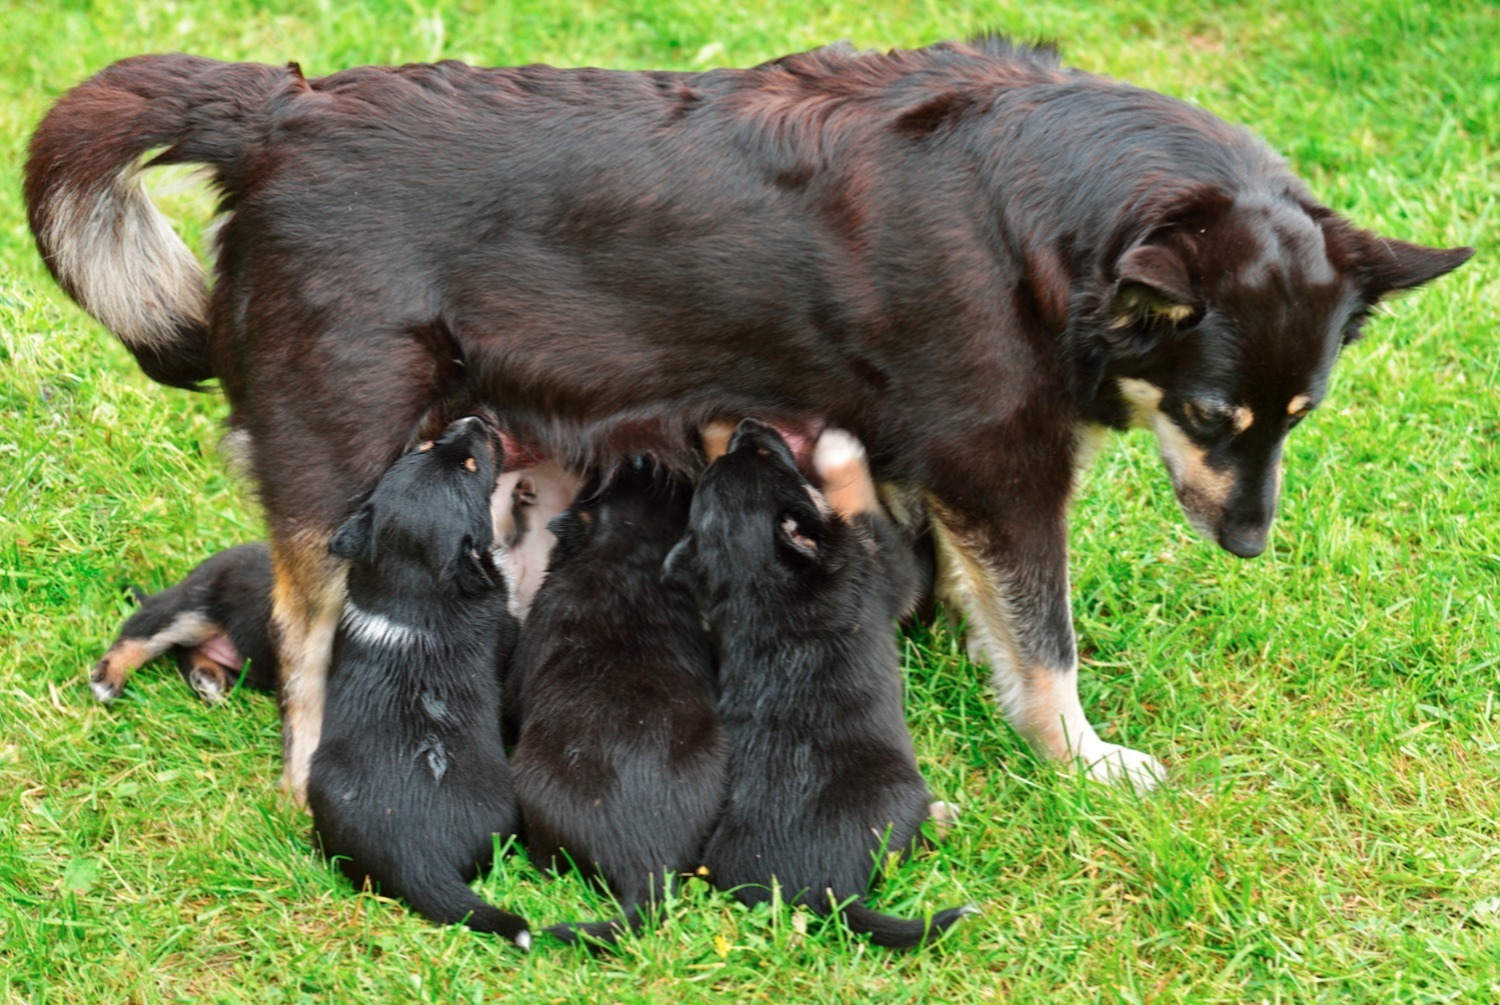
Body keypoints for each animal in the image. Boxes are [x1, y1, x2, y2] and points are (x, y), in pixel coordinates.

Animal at [303, 417, 528, 954]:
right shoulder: (506, 629)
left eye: (424, 445)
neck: (412, 589)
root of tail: (417, 860)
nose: (474, 420)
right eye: (471, 467)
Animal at [663, 420, 966, 954]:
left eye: (753, 452)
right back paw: (945, 815)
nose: (747, 424)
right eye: (766, 456)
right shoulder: (887, 570)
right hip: (902, 792)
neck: (758, 585)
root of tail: (820, 893)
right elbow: (864, 511)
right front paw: (840, 451)